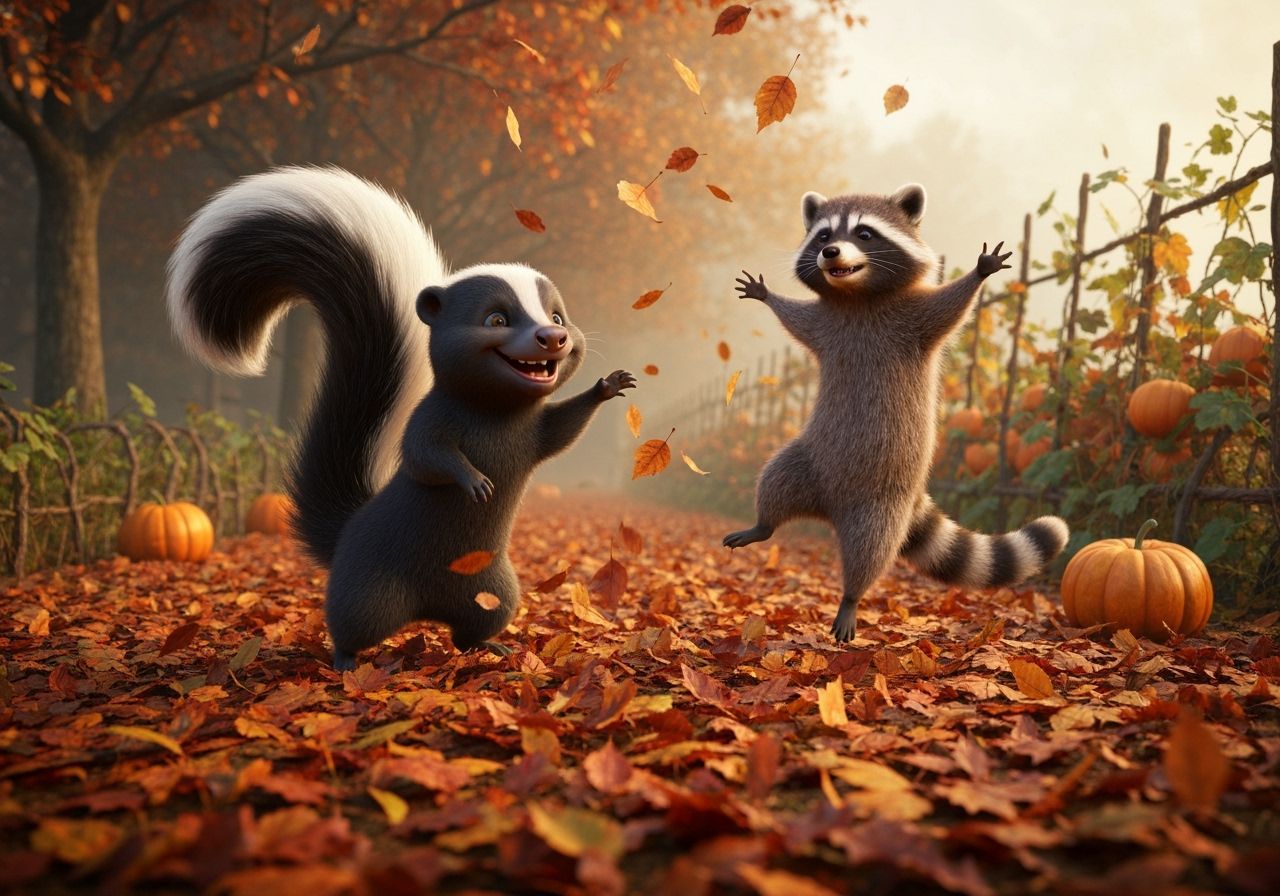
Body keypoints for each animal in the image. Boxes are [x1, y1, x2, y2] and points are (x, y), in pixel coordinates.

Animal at [724, 184, 1069, 643]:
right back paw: (763, 524)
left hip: (882, 502)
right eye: (823, 235)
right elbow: (795, 317)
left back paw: (851, 597)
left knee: (871, 551)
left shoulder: (915, 320)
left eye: (864, 234)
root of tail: (828, 506)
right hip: (804, 460)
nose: (831, 252)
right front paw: (767, 297)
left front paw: (981, 273)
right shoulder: (825, 324)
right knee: (774, 481)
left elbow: (952, 306)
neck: (857, 295)